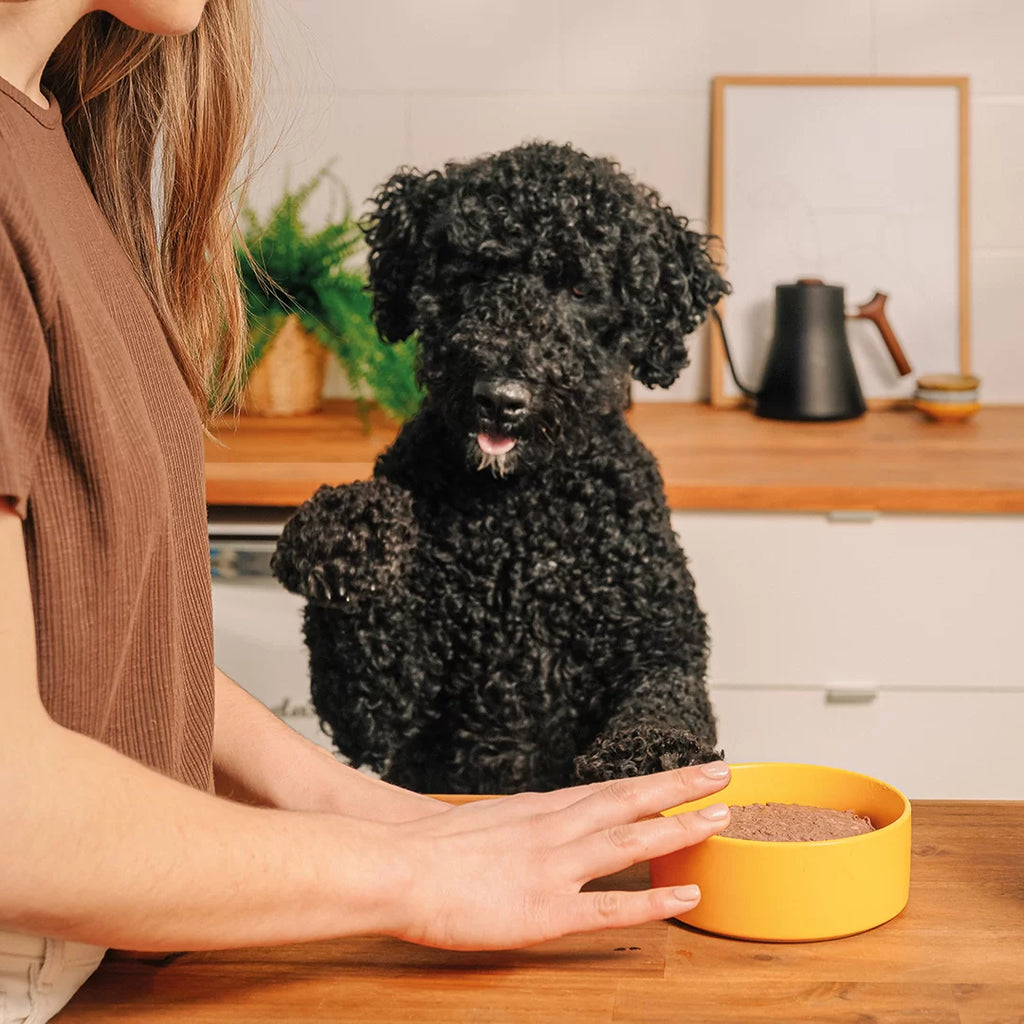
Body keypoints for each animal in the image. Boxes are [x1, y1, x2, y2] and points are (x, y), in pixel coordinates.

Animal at [274, 140, 729, 794]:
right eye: (471, 274)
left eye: (580, 290)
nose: (500, 397)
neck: (521, 517)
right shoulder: (387, 708)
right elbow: (365, 668)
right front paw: (347, 532)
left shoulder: (660, 644)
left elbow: (665, 698)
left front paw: (648, 757)